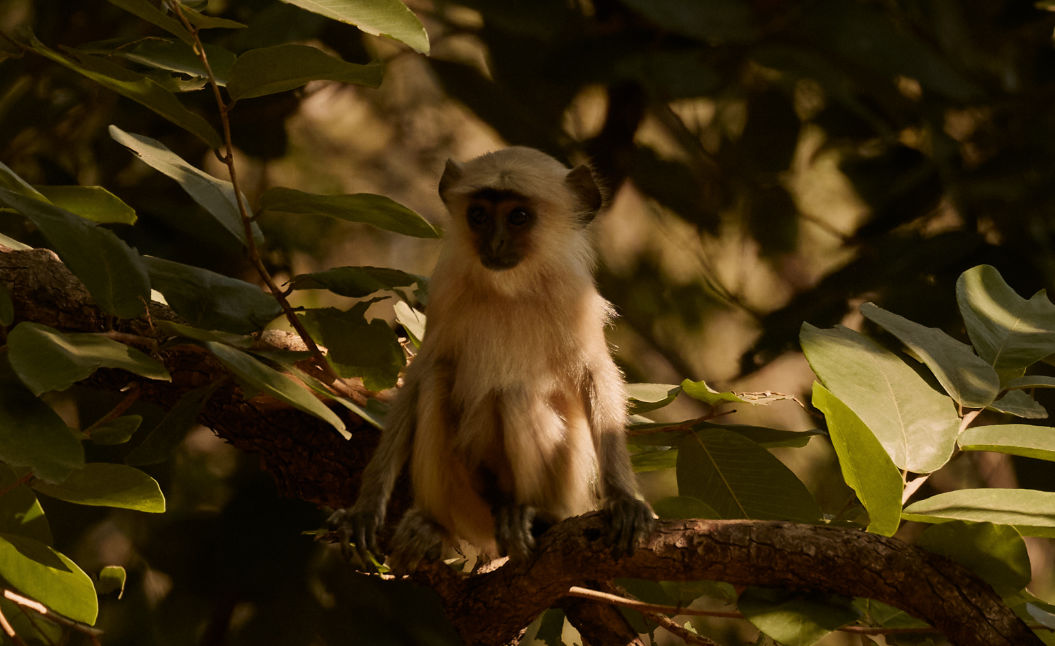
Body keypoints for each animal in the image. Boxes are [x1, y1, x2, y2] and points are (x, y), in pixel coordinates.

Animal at [329, 146, 654, 570]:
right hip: (469, 503)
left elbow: (595, 375)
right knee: (437, 379)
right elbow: (420, 375)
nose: (495, 243)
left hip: (566, 482)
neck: (510, 290)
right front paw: (366, 508)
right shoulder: (446, 287)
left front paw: (625, 499)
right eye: (479, 215)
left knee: (513, 393)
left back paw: (536, 516)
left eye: (518, 217)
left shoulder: (574, 296)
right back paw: (436, 527)